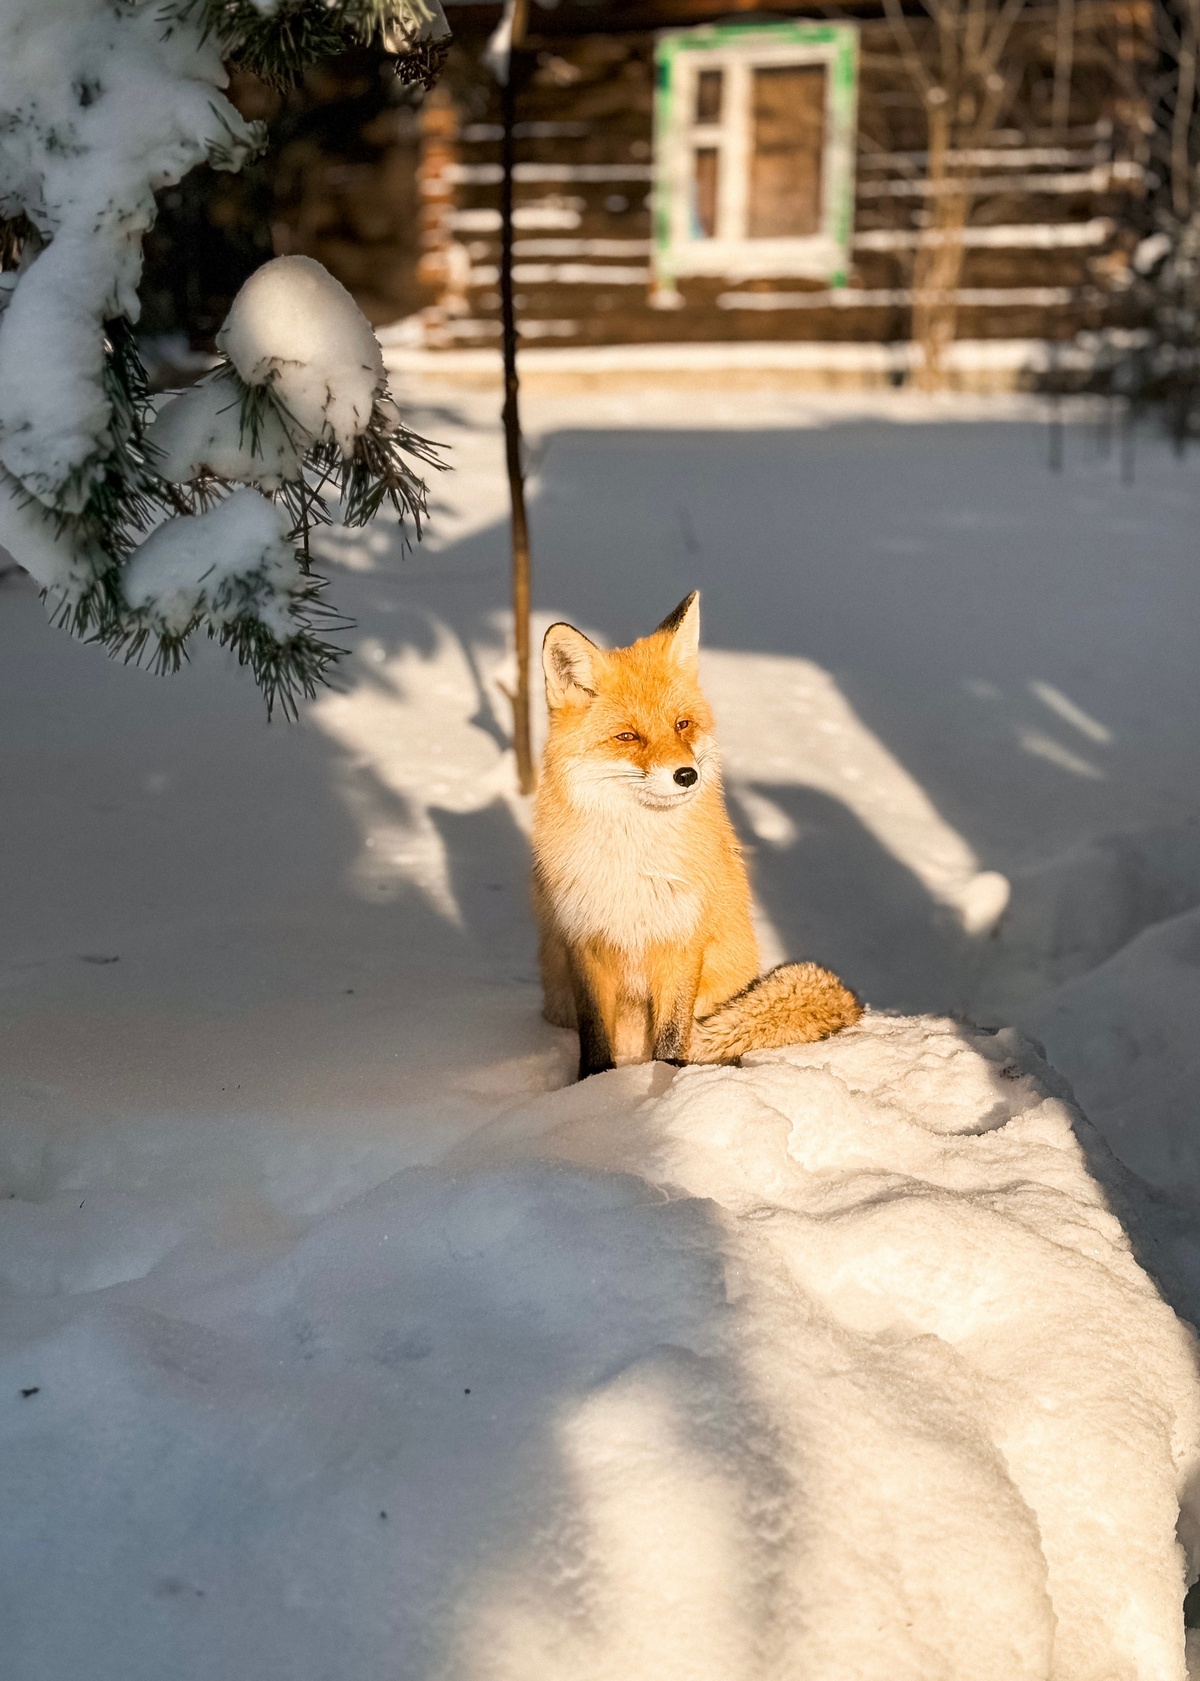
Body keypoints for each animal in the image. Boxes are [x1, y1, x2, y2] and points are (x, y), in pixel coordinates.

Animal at [527, 591, 853, 1082]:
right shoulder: (585, 942)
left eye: (682, 725)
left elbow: (672, 1035)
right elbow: (596, 1037)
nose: (687, 775)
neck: (636, 864)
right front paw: (594, 1087)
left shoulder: (682, 941)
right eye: (628, 736)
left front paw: (667, 1085)